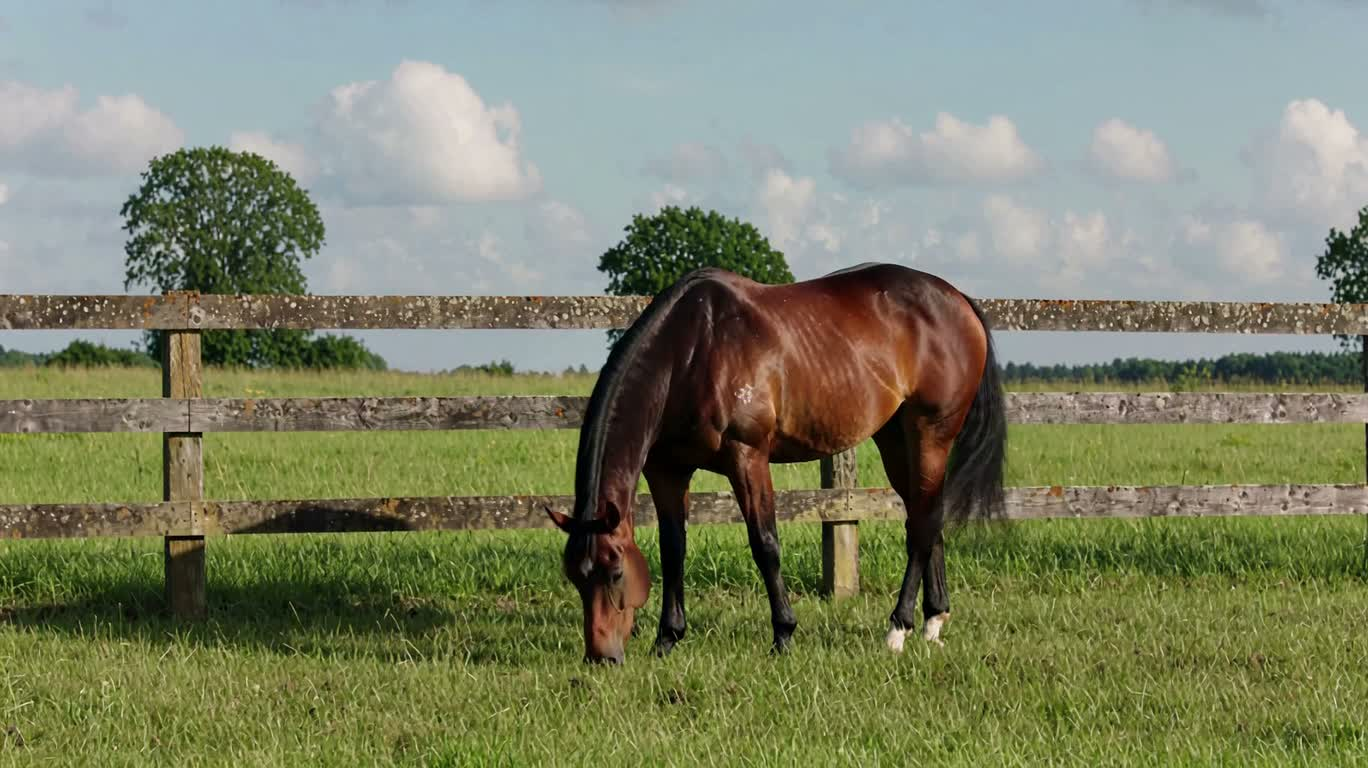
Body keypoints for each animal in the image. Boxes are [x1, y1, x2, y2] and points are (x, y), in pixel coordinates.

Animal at [545, 261, 1007, 663]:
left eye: (615, 573)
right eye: (575, 576)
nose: (601, 657)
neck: (690, 351)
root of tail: (958, 300)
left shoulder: (747, 457)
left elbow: (765, 543)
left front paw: (783, 634)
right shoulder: (667, 470)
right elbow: (673, 548)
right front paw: (667, 639)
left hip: (931, 433)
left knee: (923, 525)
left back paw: (898, 627)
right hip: (895, 438)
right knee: (924, 517)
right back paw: (933, 621)